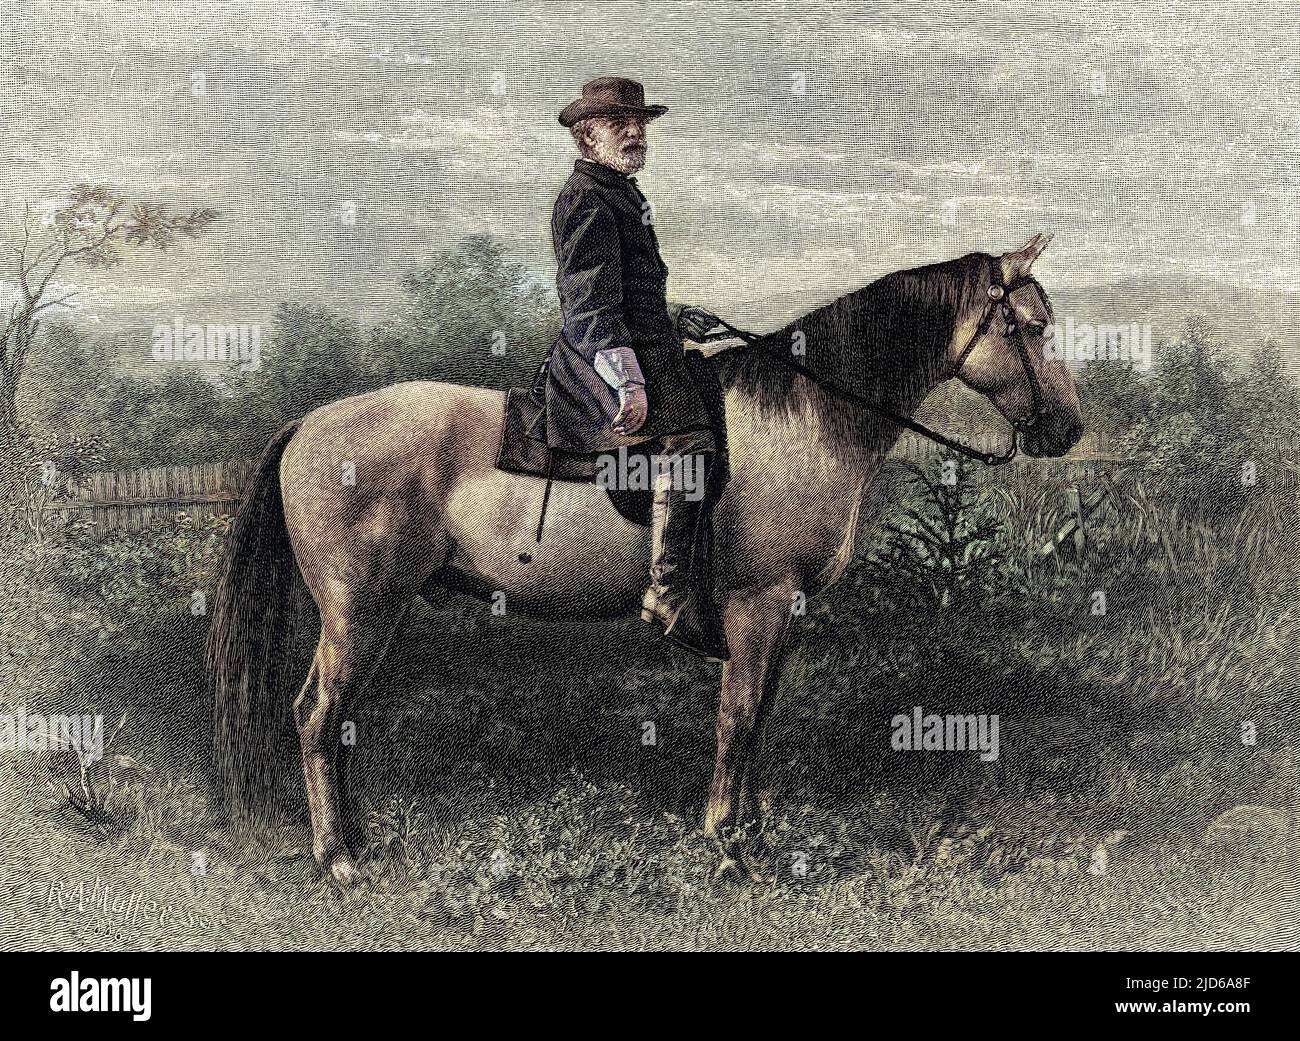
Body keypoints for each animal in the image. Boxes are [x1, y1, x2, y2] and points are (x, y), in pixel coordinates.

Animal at [210, 233, 1086, 878]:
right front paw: (727, 844)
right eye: (1028, 326)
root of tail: (310, 423)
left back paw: (357, 842)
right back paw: (338, 857)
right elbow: (738, 716)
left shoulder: (781, 615)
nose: (1068, 428)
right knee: (318, 716)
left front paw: (752, 831)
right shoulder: (760, 603)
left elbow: (760, 716)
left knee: (332, 720)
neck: (809, 412)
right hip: (359, 612)